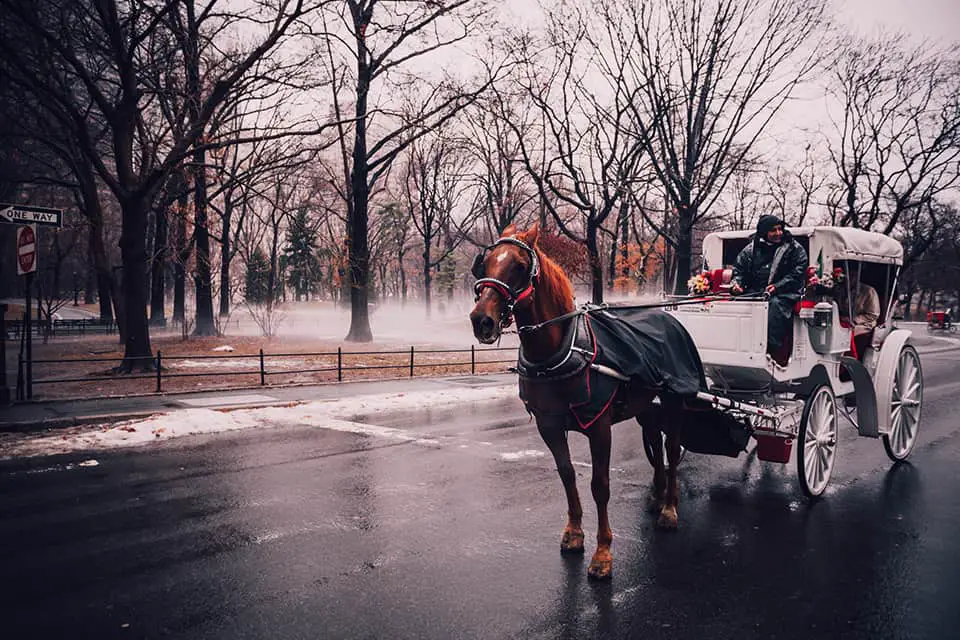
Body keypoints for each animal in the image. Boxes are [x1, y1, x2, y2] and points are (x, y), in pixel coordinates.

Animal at [466, 224, 696, 580]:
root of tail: (669, 319)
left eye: (520, 265)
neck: (560, 350)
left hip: (674, 402)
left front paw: (603, 553)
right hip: (646, 406)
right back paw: (657, 496)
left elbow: (600, 485)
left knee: (671, 449)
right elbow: (567, 474)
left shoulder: (599, 426)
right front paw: (574, 533)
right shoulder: (549, 425)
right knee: (655, 445)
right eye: (485, 262)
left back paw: (669, 508)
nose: (482, 320)